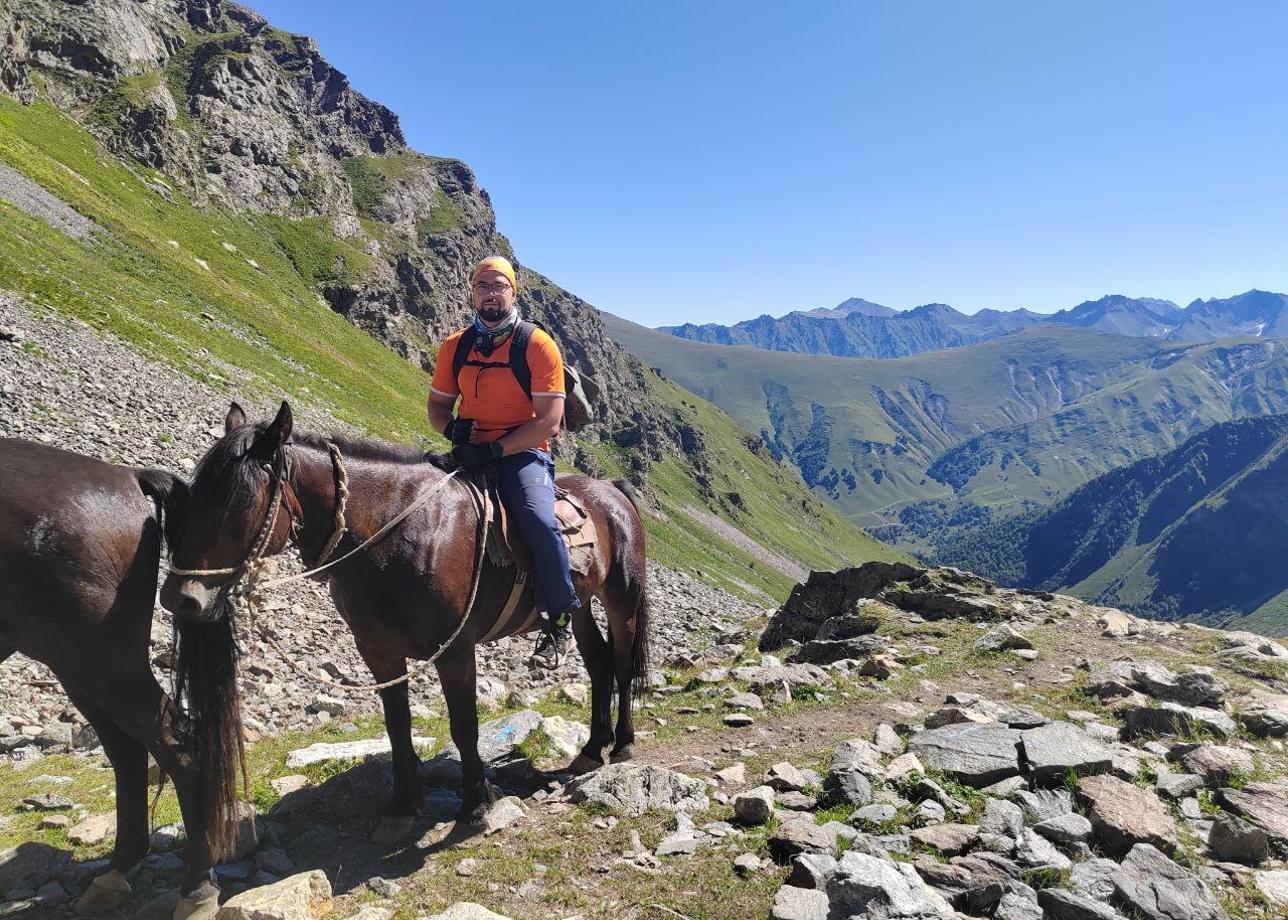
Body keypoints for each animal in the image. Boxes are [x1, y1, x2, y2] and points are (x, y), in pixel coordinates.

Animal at [0, 438, 242, 917]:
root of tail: (126, 475)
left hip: (100, 661)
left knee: (176, 748)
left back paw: (197, 887)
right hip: (76, 667)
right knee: (129, 754)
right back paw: (116, 871)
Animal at [162, 396, 654, 834]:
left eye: (241, 500)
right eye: (193, 493)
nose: (181, 598)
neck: (393, 532)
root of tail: (612, 490)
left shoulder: (455, 651)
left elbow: (464, 725)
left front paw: (477, 805)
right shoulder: (378, 652)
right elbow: (397, 725)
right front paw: (402, 802)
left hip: (621, 598)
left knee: (622, 662)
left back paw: (622, 745)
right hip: (582, 605)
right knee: (599, 664)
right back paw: (591, 748)